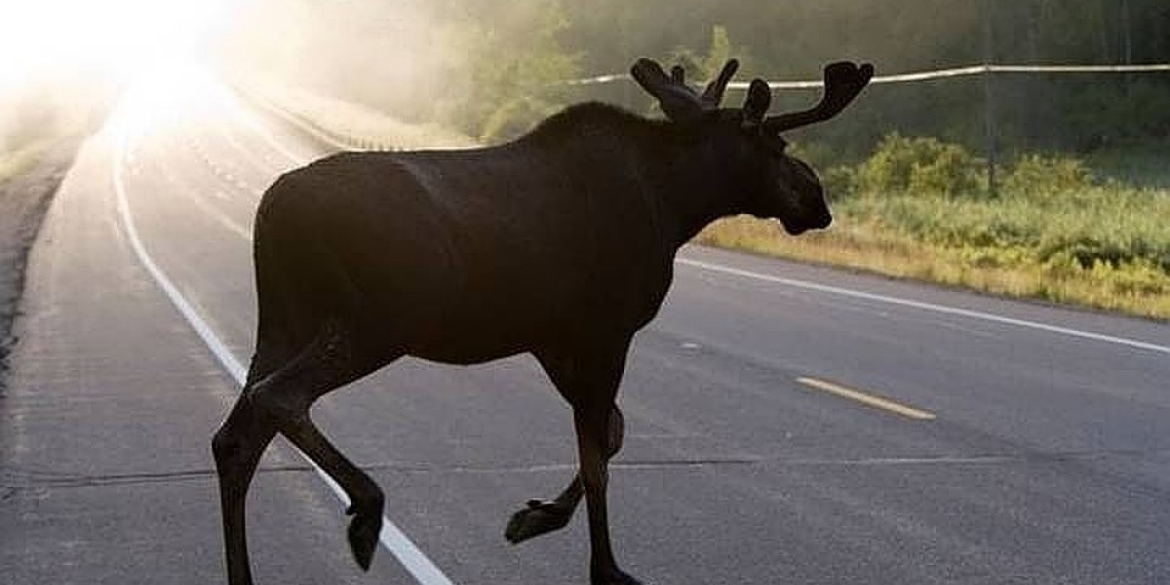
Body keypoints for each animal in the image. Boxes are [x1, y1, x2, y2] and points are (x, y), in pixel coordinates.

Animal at [212, 55, 870, 585]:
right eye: (776, 149)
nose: (817, 201)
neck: (678, 204)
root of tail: (270, 211)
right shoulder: (605, 327)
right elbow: (598, 454)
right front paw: (605, 567)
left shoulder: (552, 337)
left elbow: (612, 434)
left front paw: (536, 516)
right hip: (376, 320)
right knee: (279, 397)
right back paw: (367, 510)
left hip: (285, 320)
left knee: (235, 438)